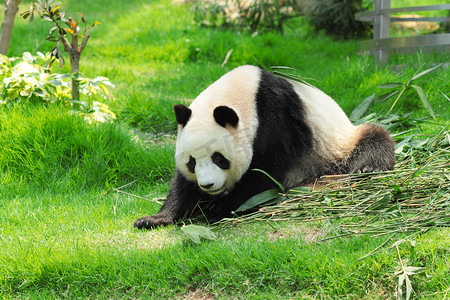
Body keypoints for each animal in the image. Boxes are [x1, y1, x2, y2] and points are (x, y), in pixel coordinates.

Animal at [134, 65, 394, 229]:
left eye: (219, 158)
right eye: (191, 161)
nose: (208, 186)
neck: (248, 95)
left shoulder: (276, 122)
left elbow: (263, 175)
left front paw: (219, 208)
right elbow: (183, 186)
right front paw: (155, 218)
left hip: (339, 145)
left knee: (374, 139)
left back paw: (369, 169)